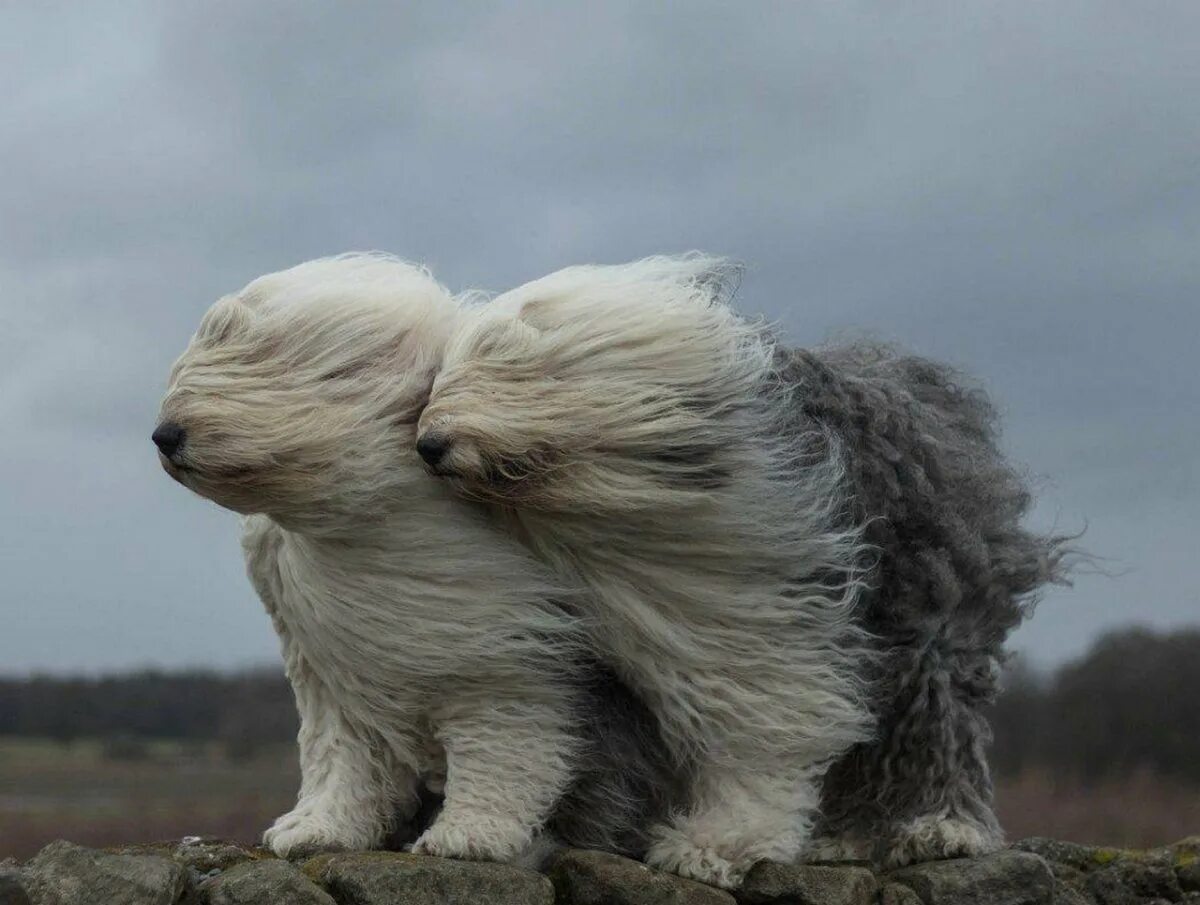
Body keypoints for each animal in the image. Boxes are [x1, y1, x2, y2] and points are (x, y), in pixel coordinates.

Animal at [420, 252, 1070, 883]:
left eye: (504, 369)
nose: (427, 444)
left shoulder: (757, 608)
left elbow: (759, 725)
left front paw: (718, 844)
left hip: (929, 617)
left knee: (935, 720)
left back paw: (939, 827)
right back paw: (845, 840)